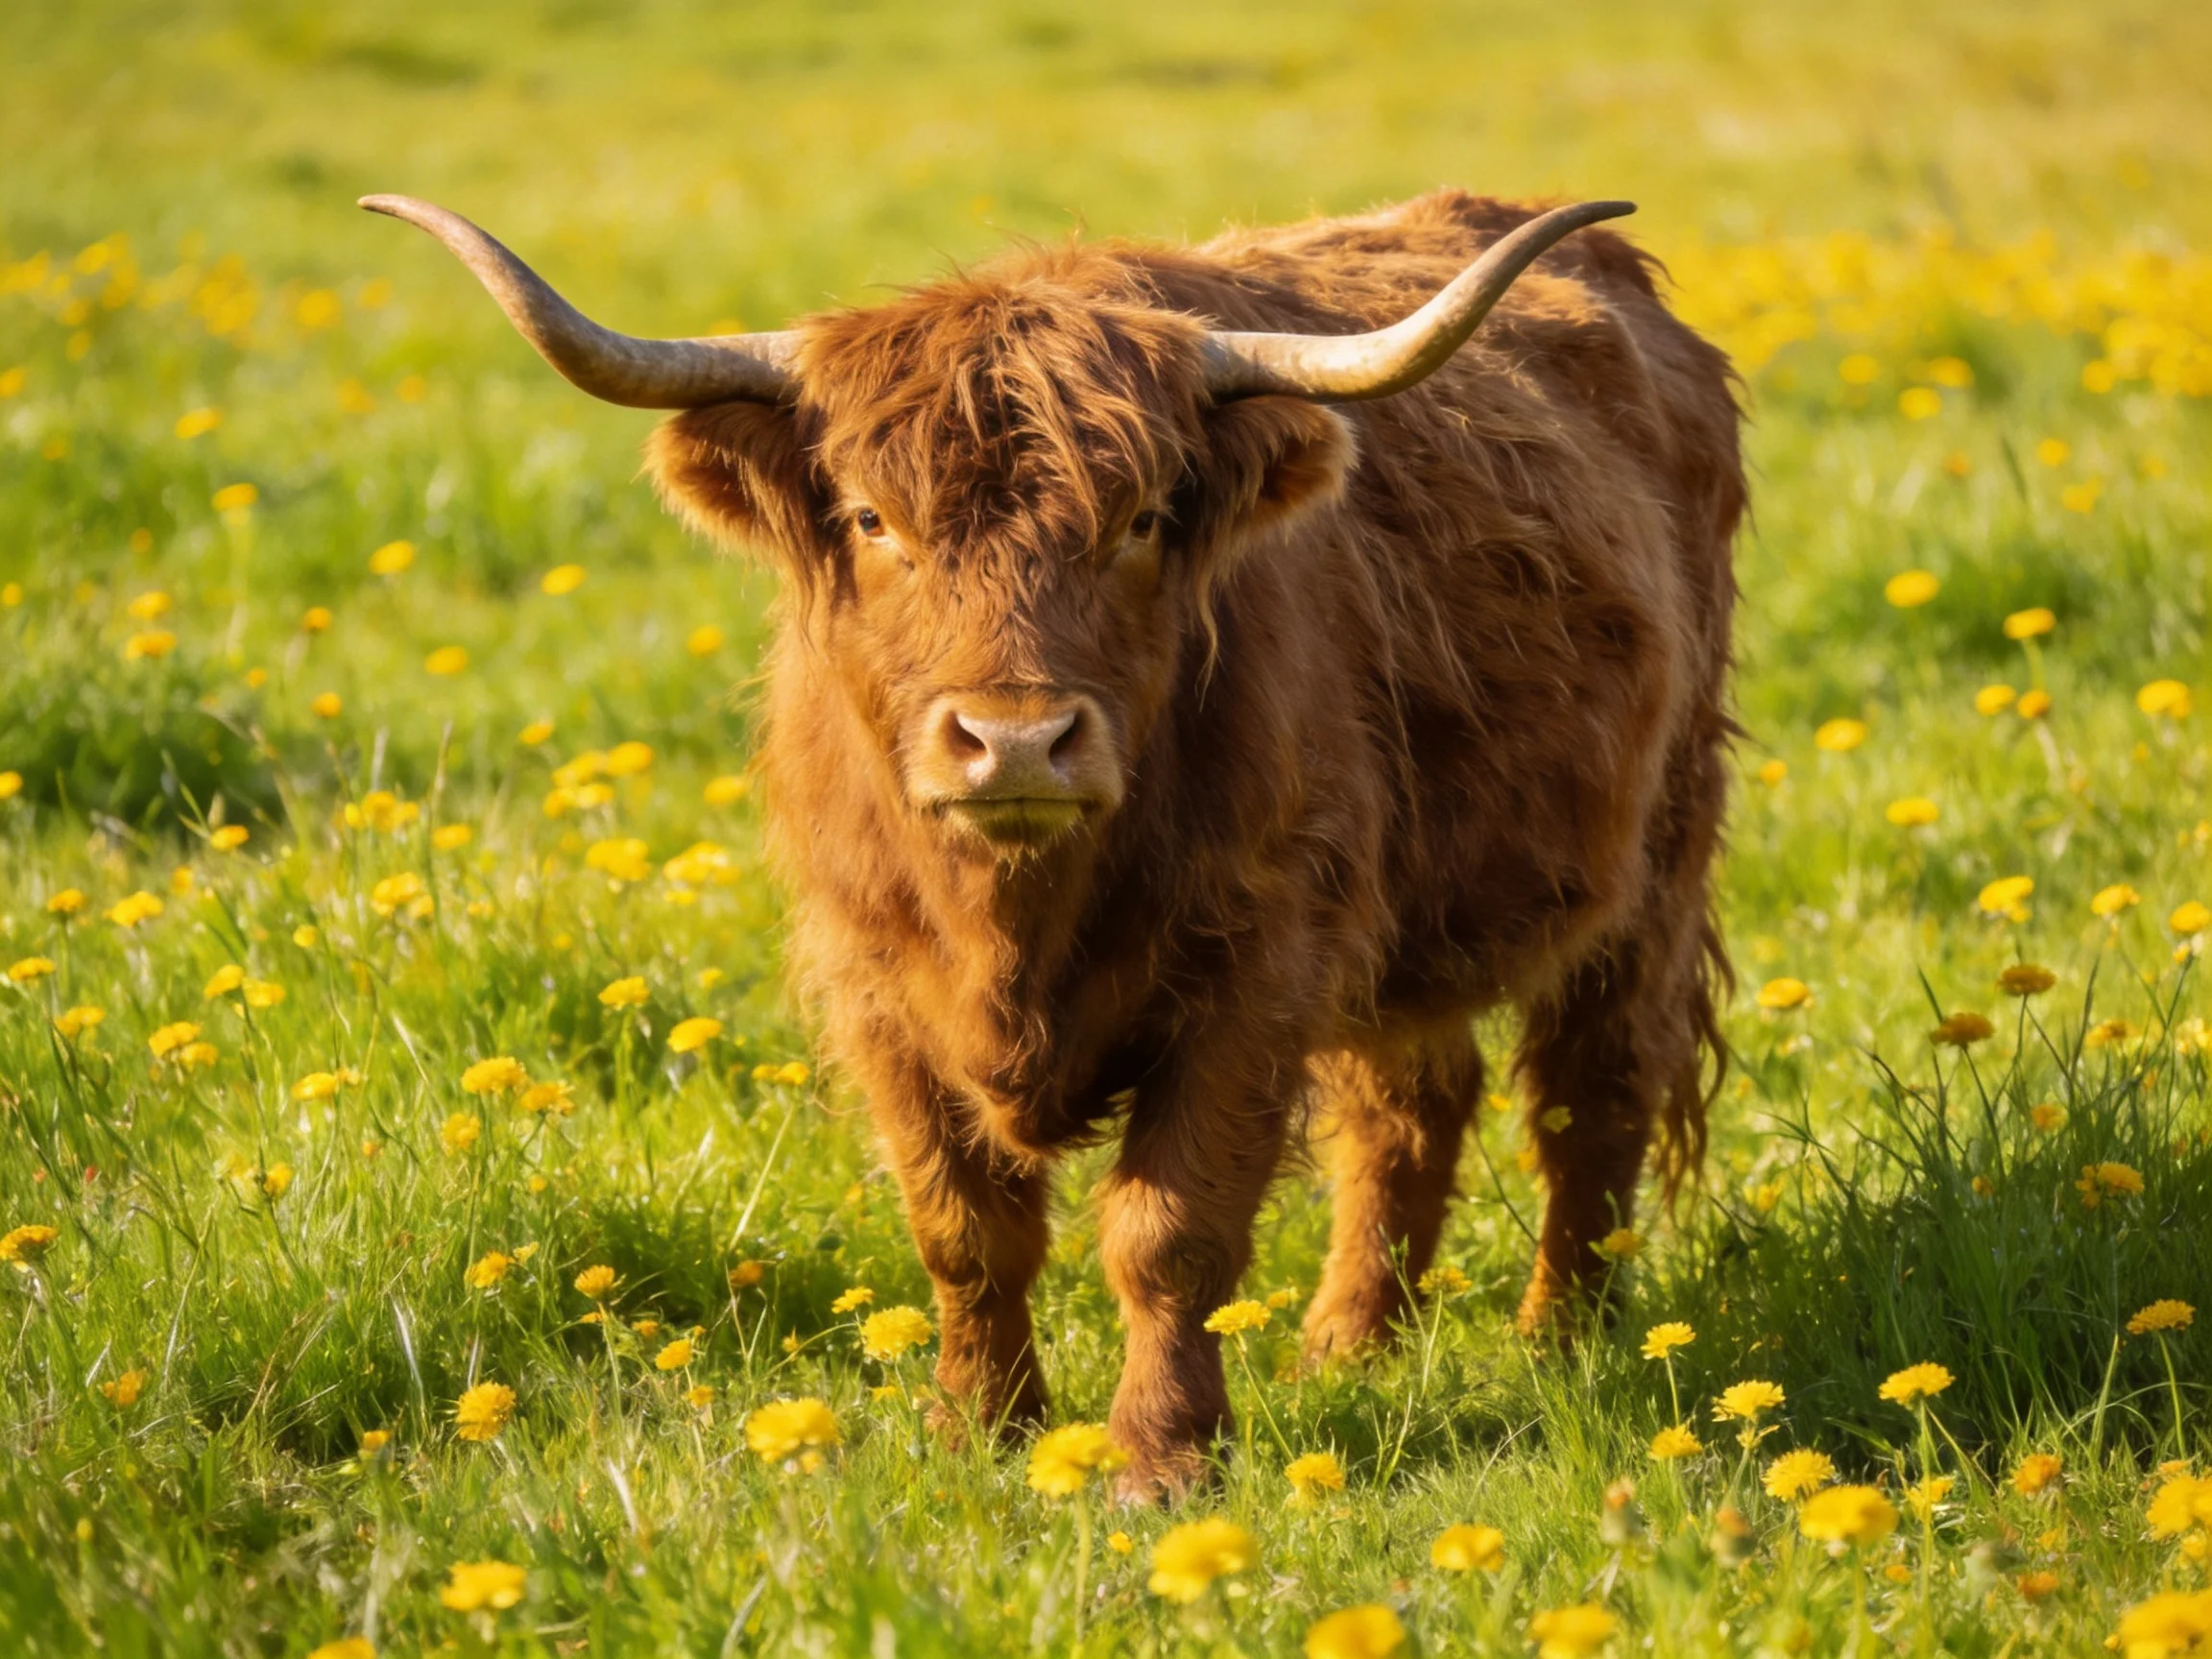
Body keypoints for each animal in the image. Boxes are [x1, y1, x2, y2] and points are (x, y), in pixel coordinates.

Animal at [365, 187, 1743, 1499]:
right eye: (872, 520)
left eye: (1138, 521)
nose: (1016, 740)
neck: (1016, 923)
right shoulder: (876, 984)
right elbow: (964, 1230)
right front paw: (977, 1427)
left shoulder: (1255, 967)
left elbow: (1168, 1233)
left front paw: (1159, 1456)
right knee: (1409, 1107)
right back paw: (1347, 1351)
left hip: (1655, 854)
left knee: (1590, 1095)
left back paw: (1563, 1344)